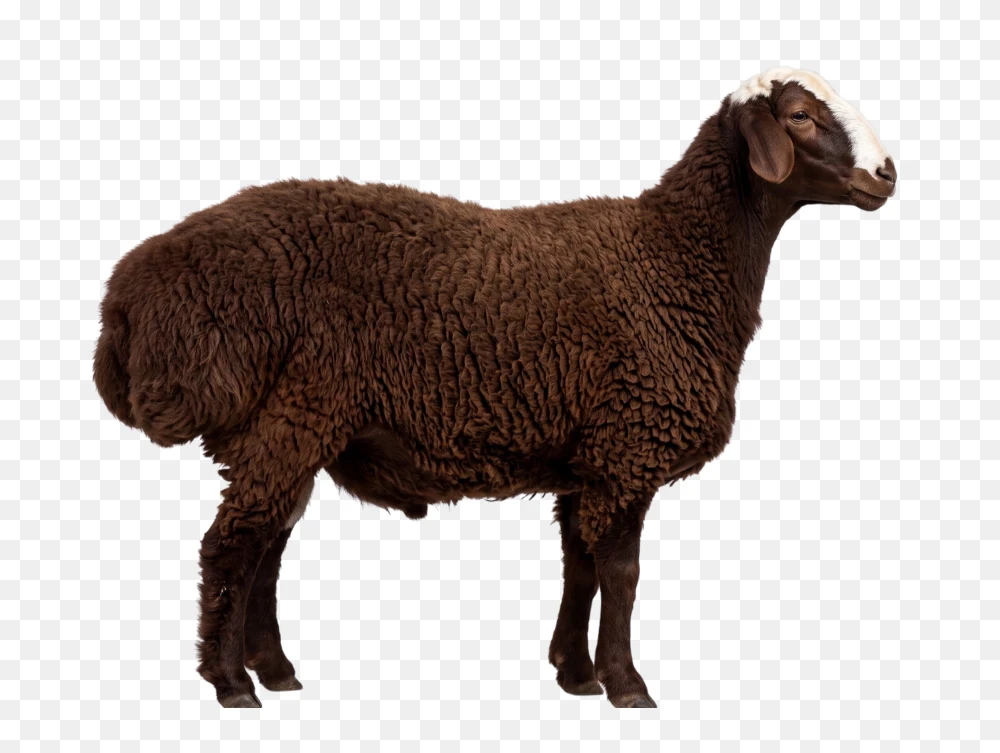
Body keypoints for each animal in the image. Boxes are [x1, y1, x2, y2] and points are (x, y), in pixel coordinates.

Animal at [94, 67, 896, 709]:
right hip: (290, 418)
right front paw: (627, 684)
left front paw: (575, 673)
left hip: (289, 428)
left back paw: (276, 670)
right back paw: (232, 683)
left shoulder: (590, 456)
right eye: (800, 115)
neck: (672, 259)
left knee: (267, 544)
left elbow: (581, 566)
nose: (888, 174)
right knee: (231, 546)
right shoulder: (629, 446)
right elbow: (623, 573)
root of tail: (130, 296)